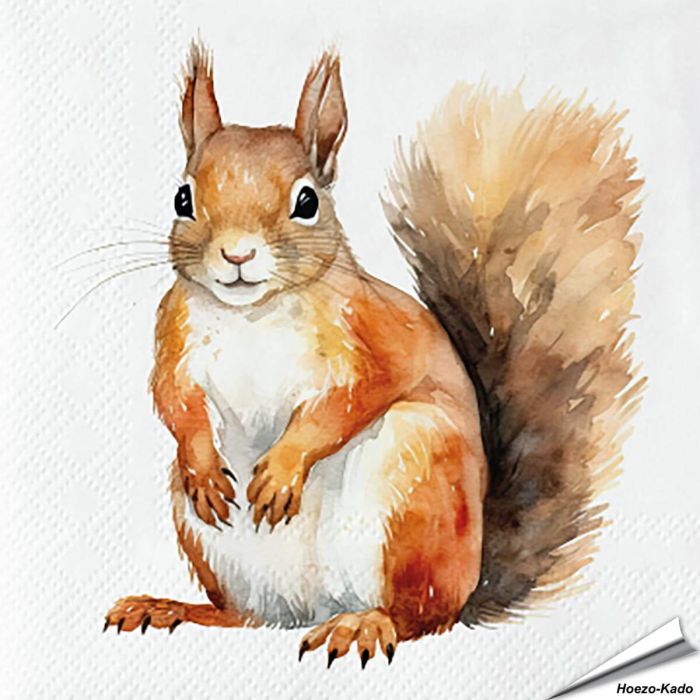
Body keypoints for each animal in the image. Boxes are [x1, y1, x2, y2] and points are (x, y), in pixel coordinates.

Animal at [103, 42, 644, 668]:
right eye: (183, 198)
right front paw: (204, 467)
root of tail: (311, 609)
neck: (253, 313)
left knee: (421, 617)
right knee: (245, 615)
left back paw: (364, 624)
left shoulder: (374, 337)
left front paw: (282, 470)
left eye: (307, 201)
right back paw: (172, 607)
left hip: (415, 484)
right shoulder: (176, 337)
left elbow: (346, 404)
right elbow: (174, 400)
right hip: (211, 545)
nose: (236, 254)